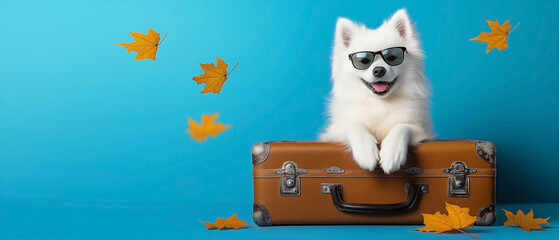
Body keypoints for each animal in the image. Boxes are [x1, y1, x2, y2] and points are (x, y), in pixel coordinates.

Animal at [320, 9, 434, 174]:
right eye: (363, 61)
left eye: (392, 57)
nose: (379, 70)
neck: (379, 102)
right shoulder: (333, 133)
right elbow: (354, 125)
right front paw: (366, 151)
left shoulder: (421, 130)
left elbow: (401, 127)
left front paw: (392, 152)